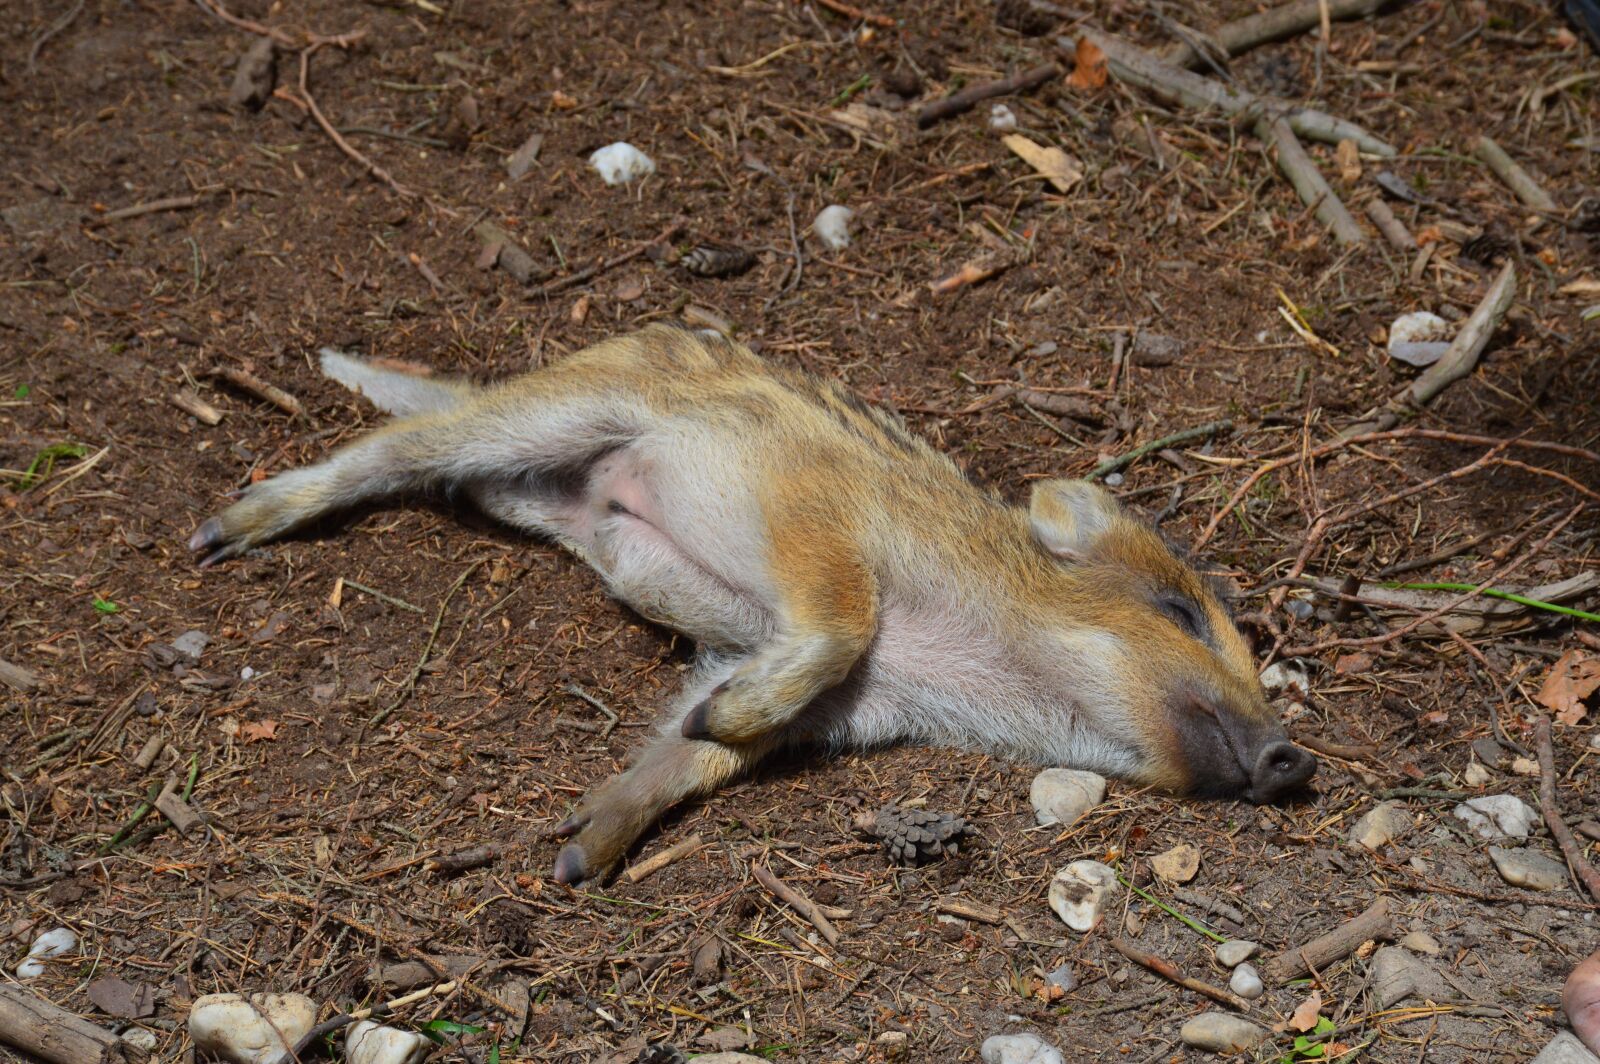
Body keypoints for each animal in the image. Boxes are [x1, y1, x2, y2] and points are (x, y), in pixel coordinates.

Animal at [189, 324, 1315, 883]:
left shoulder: (833, 705)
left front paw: (579, 853)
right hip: (556, 410)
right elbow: (836, 625)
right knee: (389, 450)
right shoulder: (817, 527)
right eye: (1177, 612)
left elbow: (691, 749)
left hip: (530, 487)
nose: (1293, 757)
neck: (976, 652)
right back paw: (222, 530)